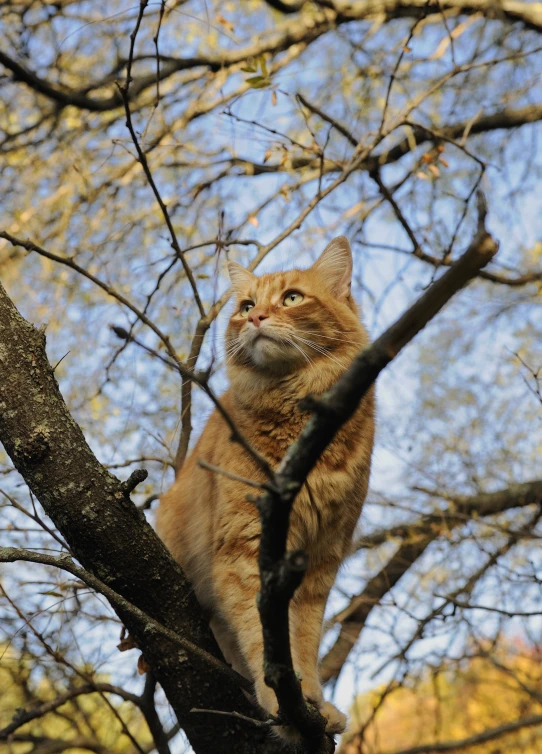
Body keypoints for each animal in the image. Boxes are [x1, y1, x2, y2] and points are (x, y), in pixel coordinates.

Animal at [157, 235, 376, 736]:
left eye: (291, 298)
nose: (256, 318)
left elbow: (305, 640)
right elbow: (264, 641)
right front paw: (281, 703)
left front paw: (314, 701)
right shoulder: (244, 549)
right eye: (246, 305)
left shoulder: (319, 559)